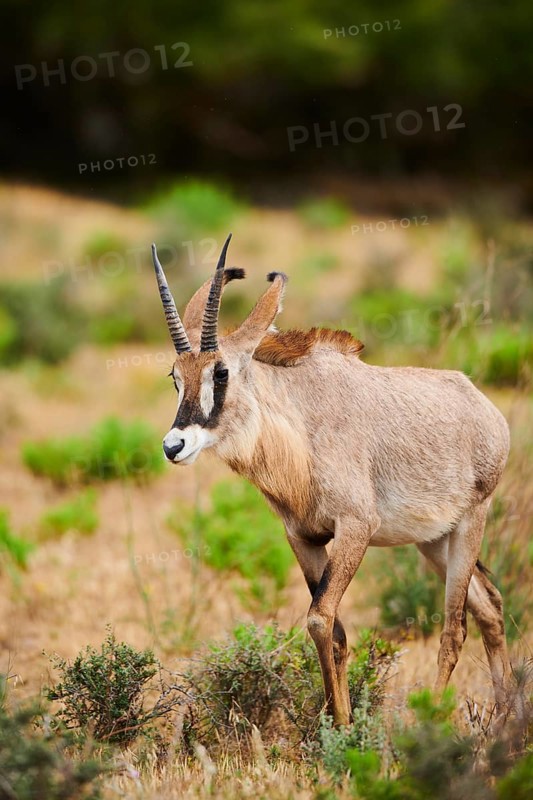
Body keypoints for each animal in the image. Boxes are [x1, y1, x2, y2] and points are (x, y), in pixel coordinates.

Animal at [151, 234, 512, 725]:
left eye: (220, 371)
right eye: (175, 377)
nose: (175, 446)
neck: (301, 429)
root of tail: (482, 405)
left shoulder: (355, 530)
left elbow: (319, 618)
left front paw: (341, 730)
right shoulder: (303, 539)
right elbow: (333, 631)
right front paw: (334, 726)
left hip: (471, 523)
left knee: (455, 629)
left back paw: (435, 719)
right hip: (434, 540)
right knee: (489, 607)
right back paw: (511, 720)